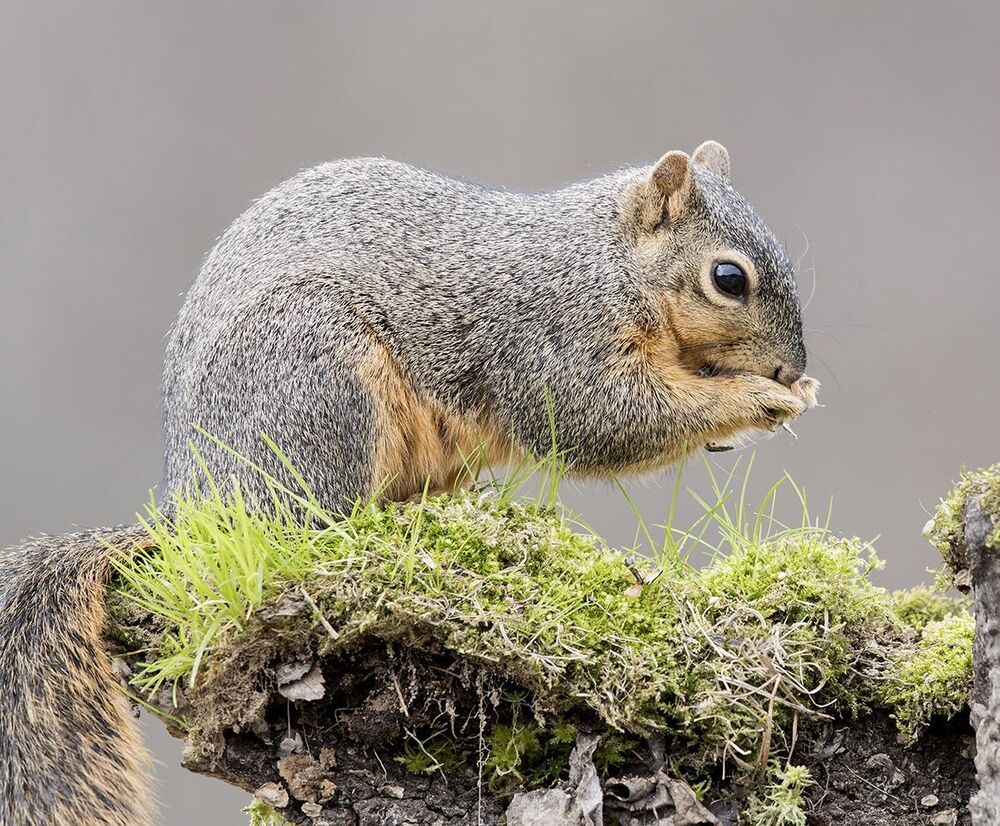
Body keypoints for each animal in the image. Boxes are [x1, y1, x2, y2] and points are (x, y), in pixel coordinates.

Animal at [0, 141, 818, 825]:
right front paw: (758, 399)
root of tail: (196, 507)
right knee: (311, 525)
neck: (606, 260)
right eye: (728, 279)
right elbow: (604, 419)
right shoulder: (553, 339)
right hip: (320, 379)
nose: (787, 365)